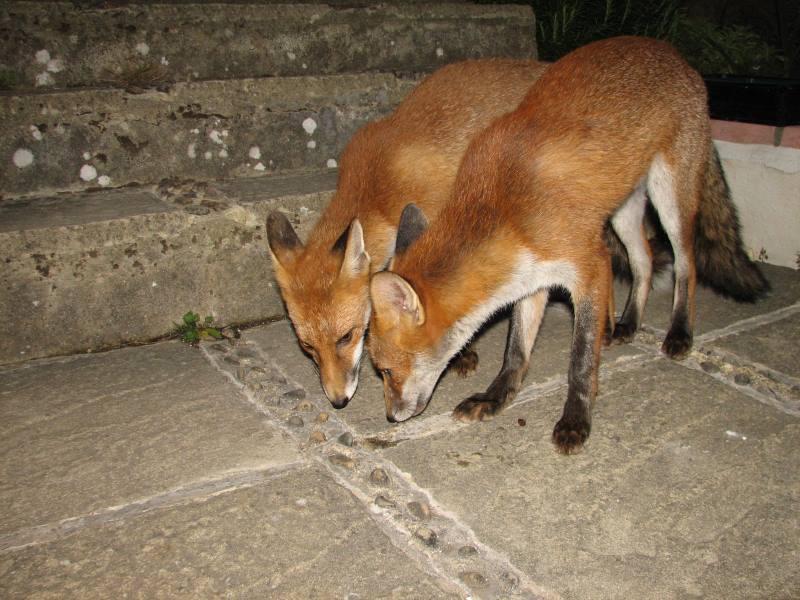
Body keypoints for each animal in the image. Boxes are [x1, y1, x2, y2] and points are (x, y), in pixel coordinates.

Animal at [368, 35, 768, 452]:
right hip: (623, 208)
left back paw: (679, 333)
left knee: (685, 263)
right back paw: (629, 324)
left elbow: (580, 359)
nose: (391, 417)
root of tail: (668, 50)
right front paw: (495, 398)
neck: (507, 210)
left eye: (387, 371)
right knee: (642, 260)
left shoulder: (588, 268)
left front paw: (576, 420)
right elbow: (516, 351)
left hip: (670, 197)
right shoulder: (531, 279)